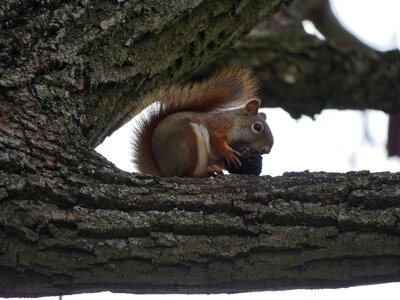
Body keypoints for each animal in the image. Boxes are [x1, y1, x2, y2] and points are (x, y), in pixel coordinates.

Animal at [133, 68, 274, 177]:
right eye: (257, 127)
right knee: (186, 174)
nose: (266, 150)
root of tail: (165, 172)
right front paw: (228, 152)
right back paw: (203, 174)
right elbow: (216, 143)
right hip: (187, 143)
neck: (233, 121)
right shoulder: (217, 127)